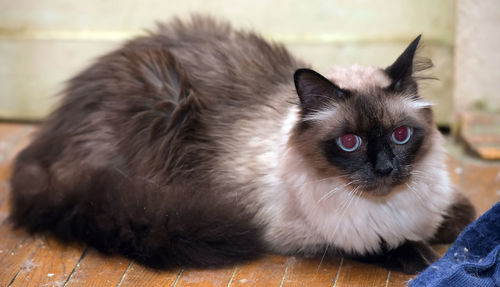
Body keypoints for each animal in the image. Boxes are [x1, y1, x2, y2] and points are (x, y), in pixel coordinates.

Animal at [9, 15, 474, 274]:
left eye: (400, 136)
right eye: (349, 142)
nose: (384, 169)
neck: (387, 205)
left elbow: (461, 216)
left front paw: (450, 231)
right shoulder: (301, 233)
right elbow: (377, 245)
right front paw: (426, 257)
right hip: (162, 99)